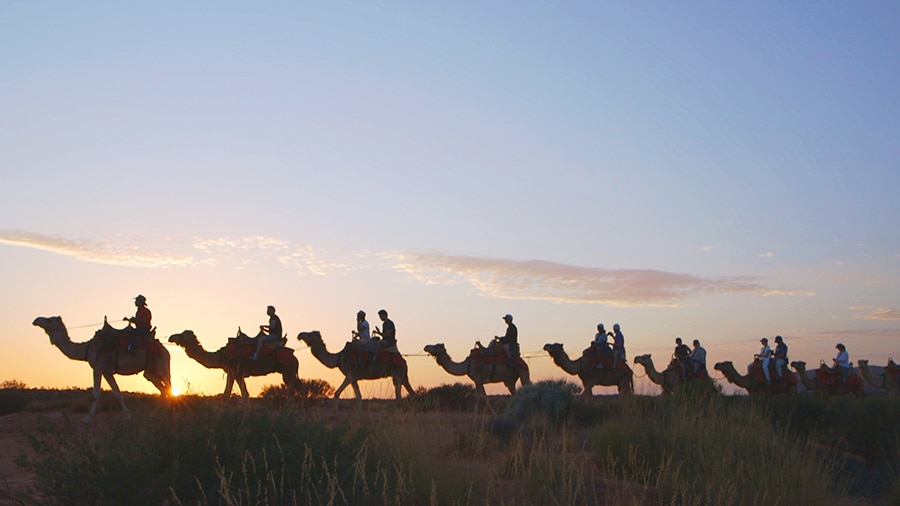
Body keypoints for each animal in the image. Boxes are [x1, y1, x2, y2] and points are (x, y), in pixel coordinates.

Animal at [32, 316, 171, 420]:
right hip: (150, 371)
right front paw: (127, 415)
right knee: (162, 388)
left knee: (168, 386)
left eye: (49, 320)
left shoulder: (97, 368)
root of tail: (165, 349)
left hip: (162, 365)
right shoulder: (107, 372)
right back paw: (158, 412)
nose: (36, 320)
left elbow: (96, 394)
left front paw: (88, 417)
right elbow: (117, 393)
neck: (88, 349)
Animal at [164, 330, 298, 402]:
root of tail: (295, 358)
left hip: (288, 371)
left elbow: (227, 395)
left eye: (183, 334)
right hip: (290, 372)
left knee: (291, 393)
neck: (221, 355)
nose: (171, 337)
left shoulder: (232, 370)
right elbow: (244, 394)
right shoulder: (237, 374)